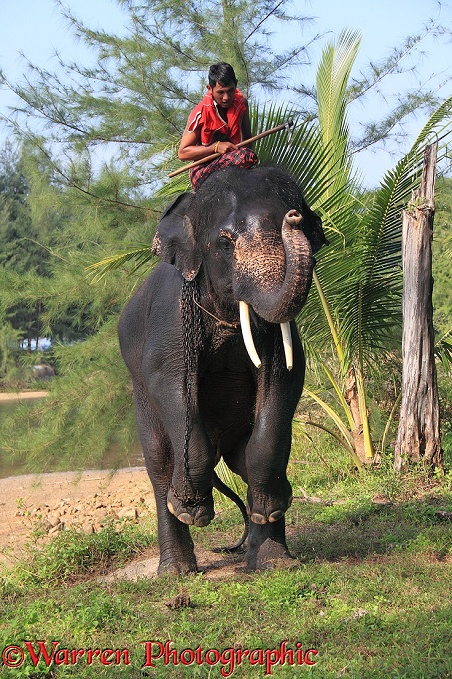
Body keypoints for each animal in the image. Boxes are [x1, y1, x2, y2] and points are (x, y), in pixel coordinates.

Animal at [118, 165, 326, 572]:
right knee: (159, 464)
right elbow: (171, 382)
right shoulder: (171, 320)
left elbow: (285, 377)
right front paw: (192, 511)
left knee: (243, 458)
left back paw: (274, 554)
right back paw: (177, 570)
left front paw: (269, 511)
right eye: (225, 243)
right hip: (140, 399)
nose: (293, 218)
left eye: (306, 229)